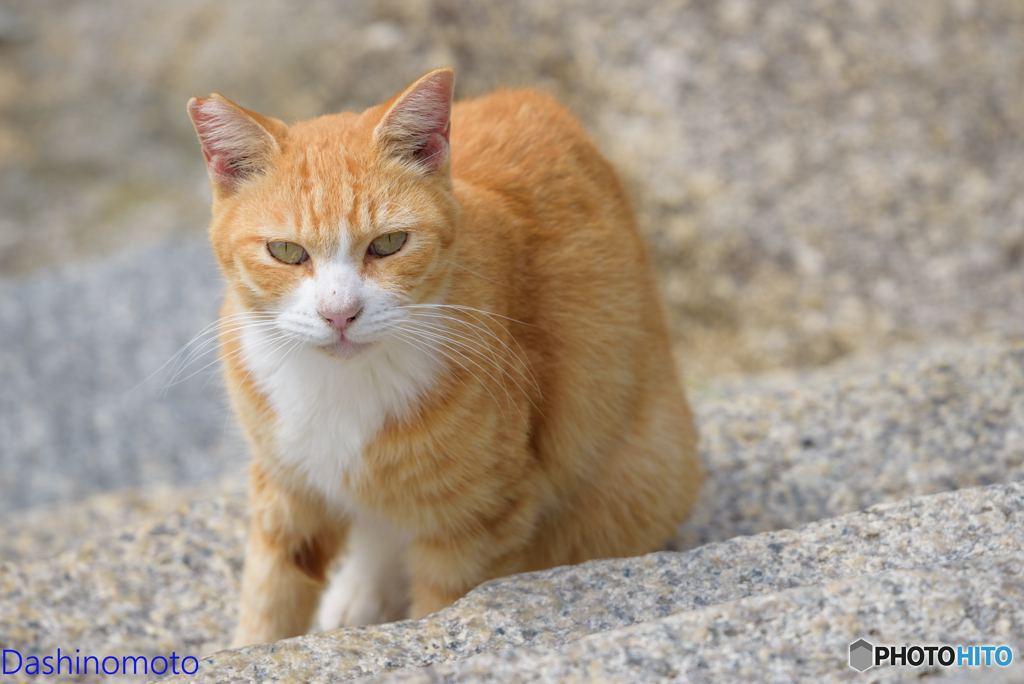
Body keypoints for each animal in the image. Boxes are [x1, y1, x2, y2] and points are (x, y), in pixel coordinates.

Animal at [188, 68, 704, 647]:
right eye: (286, 252)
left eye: (389, 243)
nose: (340, 314)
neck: (341, 387)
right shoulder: (285, 486)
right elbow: (270, 597)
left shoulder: (478, 522)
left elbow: (442, 606)